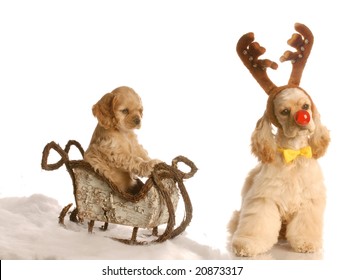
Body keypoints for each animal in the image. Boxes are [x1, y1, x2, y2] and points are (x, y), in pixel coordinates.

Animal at [230, 23, 332, 256]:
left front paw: (306, 243)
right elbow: (258, 224)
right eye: (285, 111)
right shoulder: (263, 199)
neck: (293, 154)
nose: (303, 118)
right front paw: (248, 244)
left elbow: (305, 225)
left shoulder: (310, 200)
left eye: (305, 105)